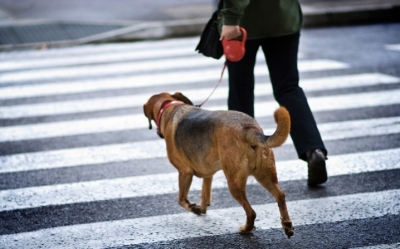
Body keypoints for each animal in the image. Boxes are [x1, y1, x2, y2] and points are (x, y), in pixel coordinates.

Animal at [144, 92, 294, 237]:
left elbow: (181, 199)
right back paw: (287, 225)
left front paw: (193, 208)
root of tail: (248, 129)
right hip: (265, 176)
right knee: (280, 196)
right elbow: (205, 193)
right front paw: (201, 208)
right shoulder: (207, 173)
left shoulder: (184, 172)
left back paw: (246, 229)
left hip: (234, 183)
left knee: (251, 212)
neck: (170, 107)